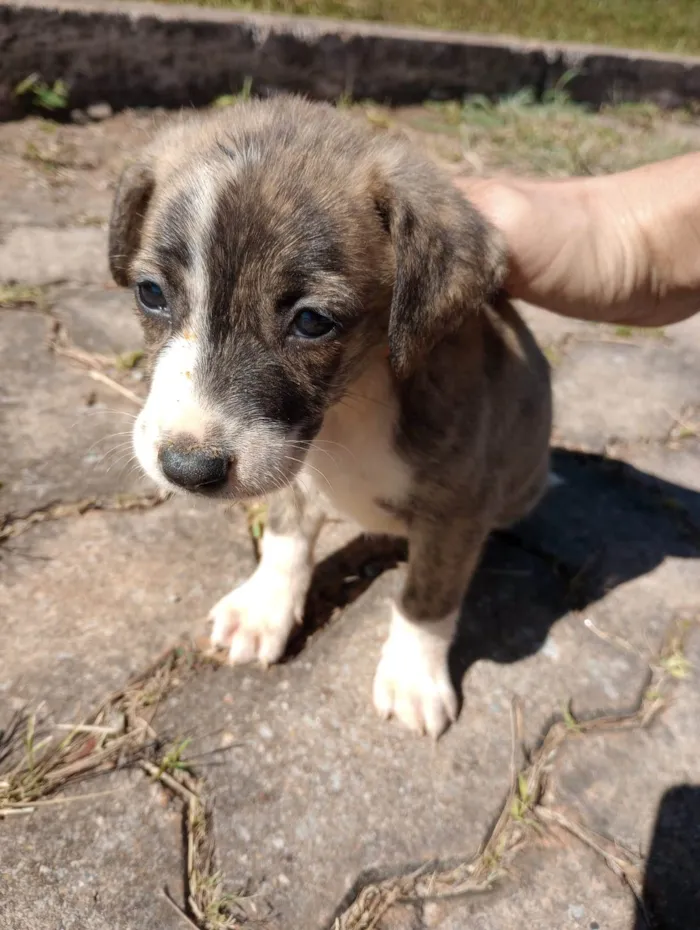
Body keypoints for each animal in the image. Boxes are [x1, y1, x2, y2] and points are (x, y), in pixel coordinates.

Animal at [108, 98, 552, 736]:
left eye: (312, 322)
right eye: (150, 293)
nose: (187, 470)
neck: (352, 405)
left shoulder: (458, 512)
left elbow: (427, 599)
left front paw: (414, 676)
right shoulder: (289, 468)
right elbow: (285, 541)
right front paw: (264, 609)